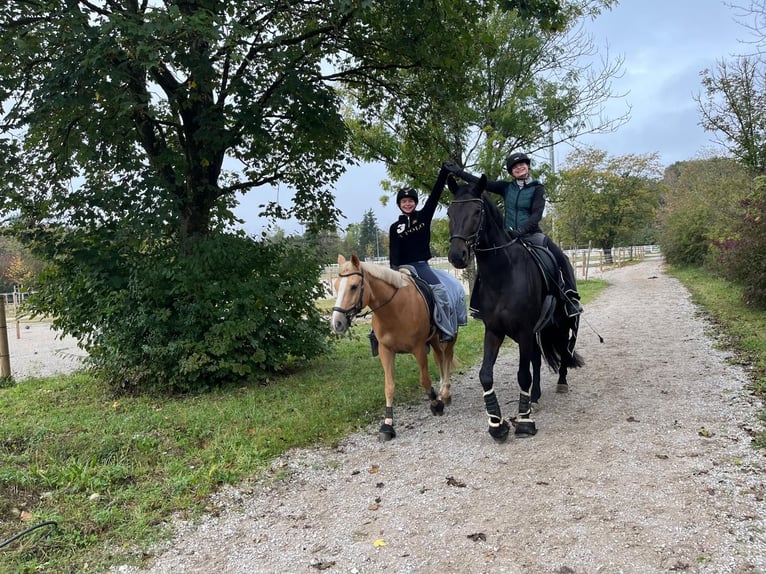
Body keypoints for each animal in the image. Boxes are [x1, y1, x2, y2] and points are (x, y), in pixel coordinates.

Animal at [330, 254, 457, 441]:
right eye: (336, 286)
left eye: (353, 286)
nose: (337, 323)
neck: (395, 309)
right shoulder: (386, 351)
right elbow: (389, 386)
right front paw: (387, 425)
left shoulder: (419, 349)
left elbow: (424, 380)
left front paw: (435, 404)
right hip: (434, 340)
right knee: (440, 359)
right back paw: (443, 392)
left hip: (449, 336)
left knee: (447, 358)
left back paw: (445, 393)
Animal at [446, 174, 584, 442]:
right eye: (449, 212)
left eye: (477, 211)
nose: (457, 256)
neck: (503, 273)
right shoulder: (494, 331)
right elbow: (486, 374)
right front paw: (497, 424)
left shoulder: (524, 331)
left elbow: (523, 374)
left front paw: (524, 422)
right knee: (537, 360)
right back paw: (536, 397)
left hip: (560, 322)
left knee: (563, 350)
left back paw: (561, 382)